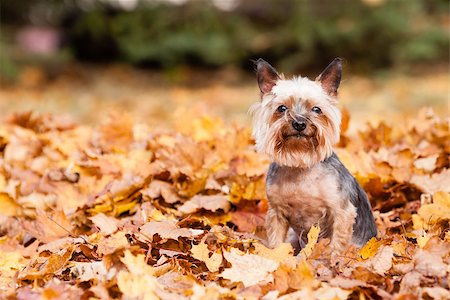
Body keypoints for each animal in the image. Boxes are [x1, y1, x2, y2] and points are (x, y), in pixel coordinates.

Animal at [250, 57, 376, 252]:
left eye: (317, 109)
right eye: (282, 108)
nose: (299, 123)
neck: (300, 163)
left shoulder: (342, 212)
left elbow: (336, 243)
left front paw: (332, 257)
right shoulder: (276, 213)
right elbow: (276, 242)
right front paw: (276, 255)